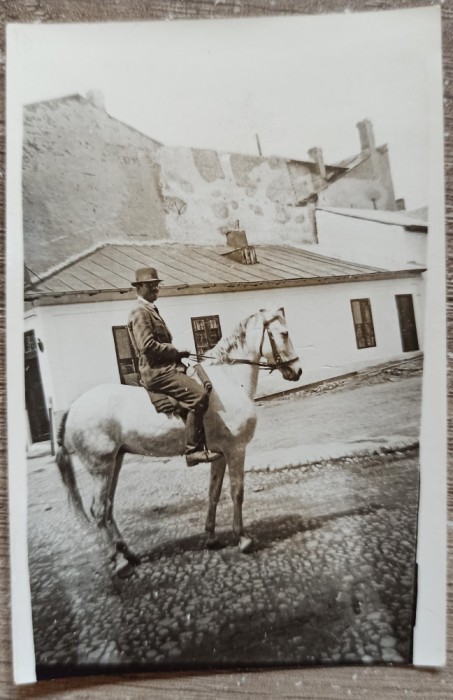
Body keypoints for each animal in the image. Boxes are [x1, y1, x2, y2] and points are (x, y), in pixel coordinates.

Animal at [57, 308, 304, 576]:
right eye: (284, 333)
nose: (298, 371)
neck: (229, 380)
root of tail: (73, 407)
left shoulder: (220, 454)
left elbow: (214, 493)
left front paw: (211, 537)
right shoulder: (236, 450)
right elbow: (237, 493)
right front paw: (243, 538)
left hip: (115, 463)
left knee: (108, 508)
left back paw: (128, 554)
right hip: (101, 469)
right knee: (99, 511)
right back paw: (118, 562)